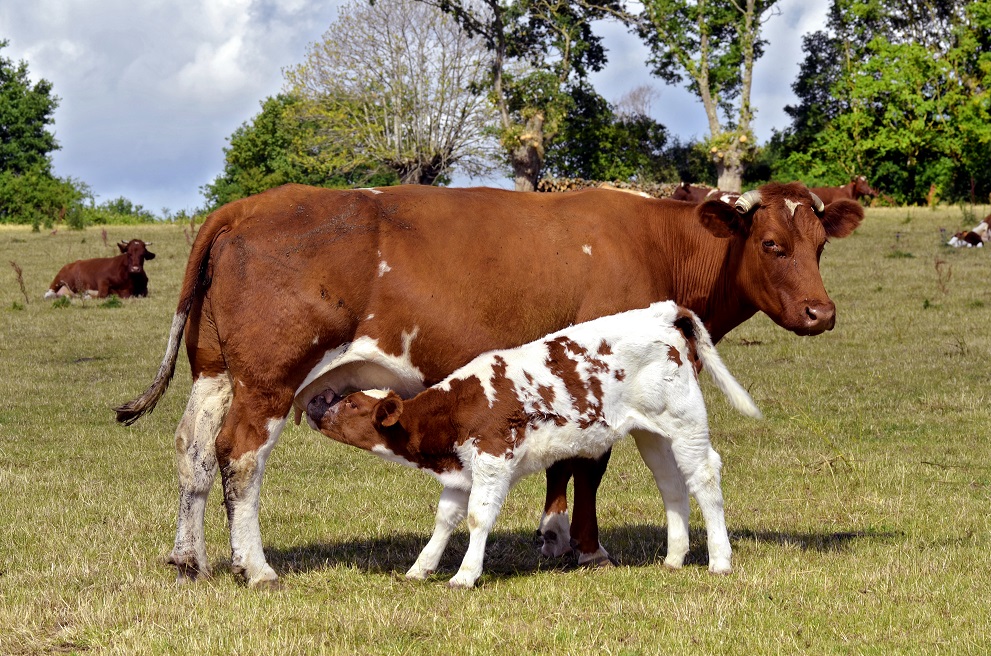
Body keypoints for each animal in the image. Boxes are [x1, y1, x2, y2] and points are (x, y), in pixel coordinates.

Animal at [308, 300, 760, 588]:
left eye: (352, 402)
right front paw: (422, 568)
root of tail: (662, 312)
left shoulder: (492, 461)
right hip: (651, 432)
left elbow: (478, 519)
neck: (457, 406)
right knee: (672, 484)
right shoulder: (460, 471)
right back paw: (673, 559)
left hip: (686, 422)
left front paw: (465, 575)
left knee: (704, 477)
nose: (316, 400)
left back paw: (719, 560)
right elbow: (445, 520)